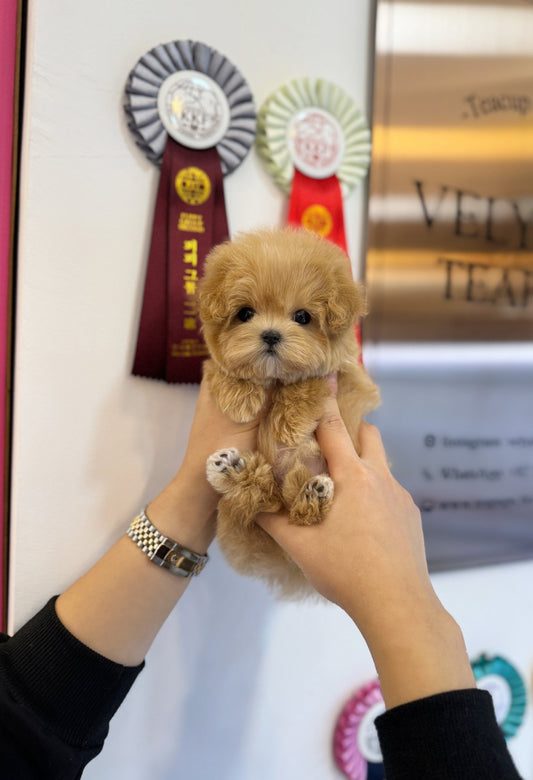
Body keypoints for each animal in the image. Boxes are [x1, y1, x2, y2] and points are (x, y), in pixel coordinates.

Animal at [198, 227, 378, 596]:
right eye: (245, 314)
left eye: (302, 317)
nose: (270, 334)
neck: (275, 378)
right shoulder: (216, 365)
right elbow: (221, 367)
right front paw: (240, 396)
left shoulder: (345, 377)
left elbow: (309, 380)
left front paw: (290, 423)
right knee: (257, 496)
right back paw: (232, 471)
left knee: (298, 513)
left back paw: (313, 496)